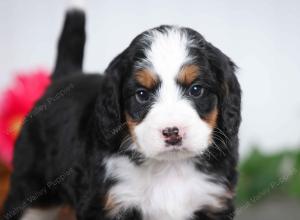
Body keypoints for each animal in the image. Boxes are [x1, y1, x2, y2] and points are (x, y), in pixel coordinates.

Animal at [2, 4, 241, 220]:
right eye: (142, 95)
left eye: (196, 90)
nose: (172, 132)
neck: (169, 167)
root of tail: (65, 78)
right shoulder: (107, 203)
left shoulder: (213, 201)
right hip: (29, 188)